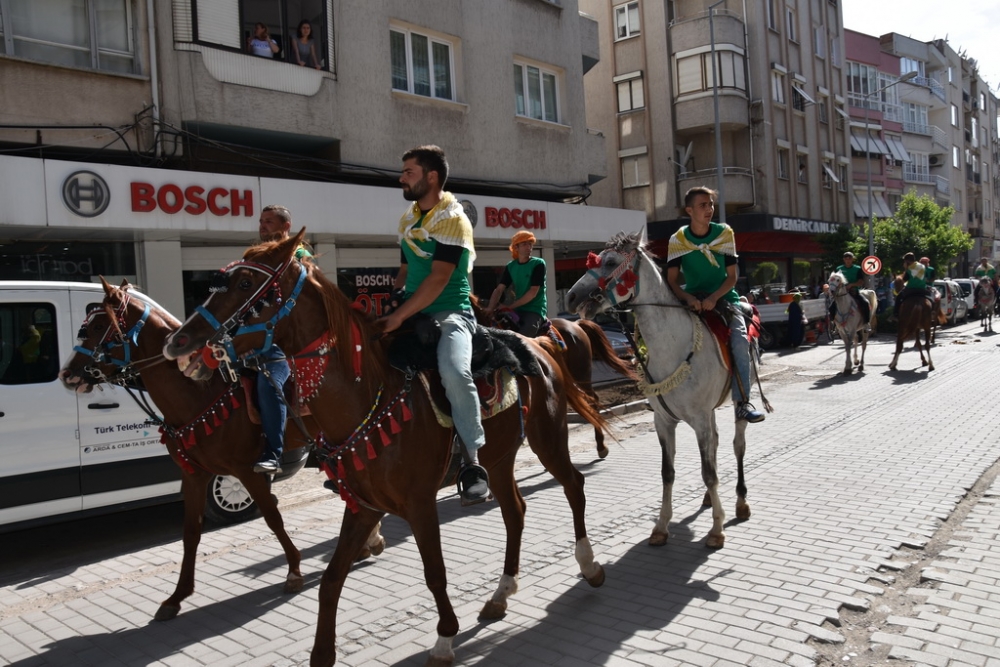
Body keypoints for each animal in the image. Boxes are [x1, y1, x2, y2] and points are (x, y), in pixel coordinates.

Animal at [59, 280, 382, 624]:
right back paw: (368, 542)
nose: (67, 374)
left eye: (98, 326)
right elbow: (191, 532)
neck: (200, 393)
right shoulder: (194, 475)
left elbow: (273, 517)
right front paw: (176, 597)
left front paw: (294, 570)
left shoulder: (246, 471)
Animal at [162, 231, 608, 667]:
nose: (177, 342)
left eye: (245, 284)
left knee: (575, 486)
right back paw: (500, 594)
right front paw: (322, 652)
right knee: (515, 512)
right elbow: (331, 579)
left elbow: (434, 572)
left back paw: (589, 566)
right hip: (499, 459)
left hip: (549, 439)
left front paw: (444, 639)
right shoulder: (363, 505)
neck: (367, 397)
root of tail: (540, 344)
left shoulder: (420, 504)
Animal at [568, 230, 748, 548]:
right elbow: (669, 473)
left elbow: (709, 473)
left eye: (611, 262)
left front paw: (716, 529)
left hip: (738, 401)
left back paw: (740, 503)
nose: (571, 296)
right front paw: (661, 527)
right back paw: (709, 500)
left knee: (738, 446)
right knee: (715, 444)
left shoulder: (699, 418)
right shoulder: (664, 421)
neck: (673, 346)